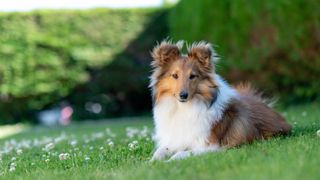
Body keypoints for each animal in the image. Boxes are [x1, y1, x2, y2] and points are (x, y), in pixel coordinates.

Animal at [149, 40, 292, 162]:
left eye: (192, 76)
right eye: (174, 75)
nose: (183, 95)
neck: (183, 108)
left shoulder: (212, 146)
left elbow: (183, 153)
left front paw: (170, 161)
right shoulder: (174, 140)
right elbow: (160, 150)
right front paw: (152, 162)